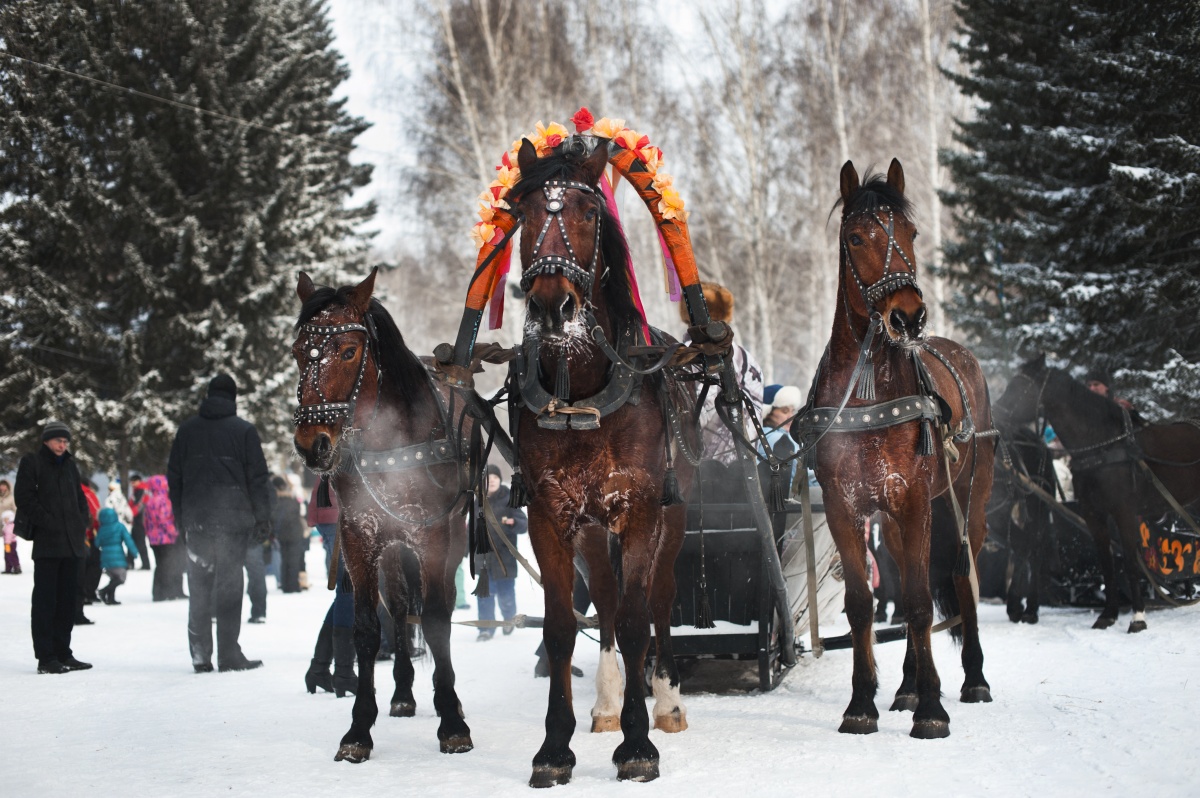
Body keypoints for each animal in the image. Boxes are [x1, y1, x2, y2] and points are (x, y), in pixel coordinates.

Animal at [290, 271, 472, 763]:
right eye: (298, 352)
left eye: (349, 351)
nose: (311, 443)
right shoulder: (359, 536)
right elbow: (368, 629)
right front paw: (358, 729)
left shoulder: (432, 533)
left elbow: (436, 620)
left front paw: (452, 722)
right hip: (392, 550)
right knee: (400, 605)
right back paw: (404, 693)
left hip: (451, 536)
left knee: (442, 607)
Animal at [504, 136, 696, 782]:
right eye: (523, 213)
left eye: (589, 213)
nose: (552, 306)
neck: (583, 391)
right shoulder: (550, 517)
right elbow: (564, 627)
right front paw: (553, 746)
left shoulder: (639, 510)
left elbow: (639, 620)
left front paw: (639, 744)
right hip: (591, 528)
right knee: (607, 601)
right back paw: (610, 701)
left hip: (672, 519)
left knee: (658, 600)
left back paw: (666, 700)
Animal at [792, 158, 998, 739]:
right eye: (856, 237)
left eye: (910, 233)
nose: (908, 316)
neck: (869, 395)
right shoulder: (847, 507)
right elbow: (866, 604)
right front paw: (863, 701)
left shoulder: (913, 501)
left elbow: (921, 602)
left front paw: (932, 708)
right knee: (909, 585)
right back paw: (907, 685)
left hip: (967, 500)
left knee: (960, 577)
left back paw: (971, 679)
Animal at [988, 352, 1200, 628]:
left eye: (1021, 388)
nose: (994, 417)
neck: (1101, 445)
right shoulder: (1094, 515)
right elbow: (1107, 564)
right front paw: (1108, 615)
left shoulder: (1124, 512)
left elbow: (1130, 561)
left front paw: (1137, 616)